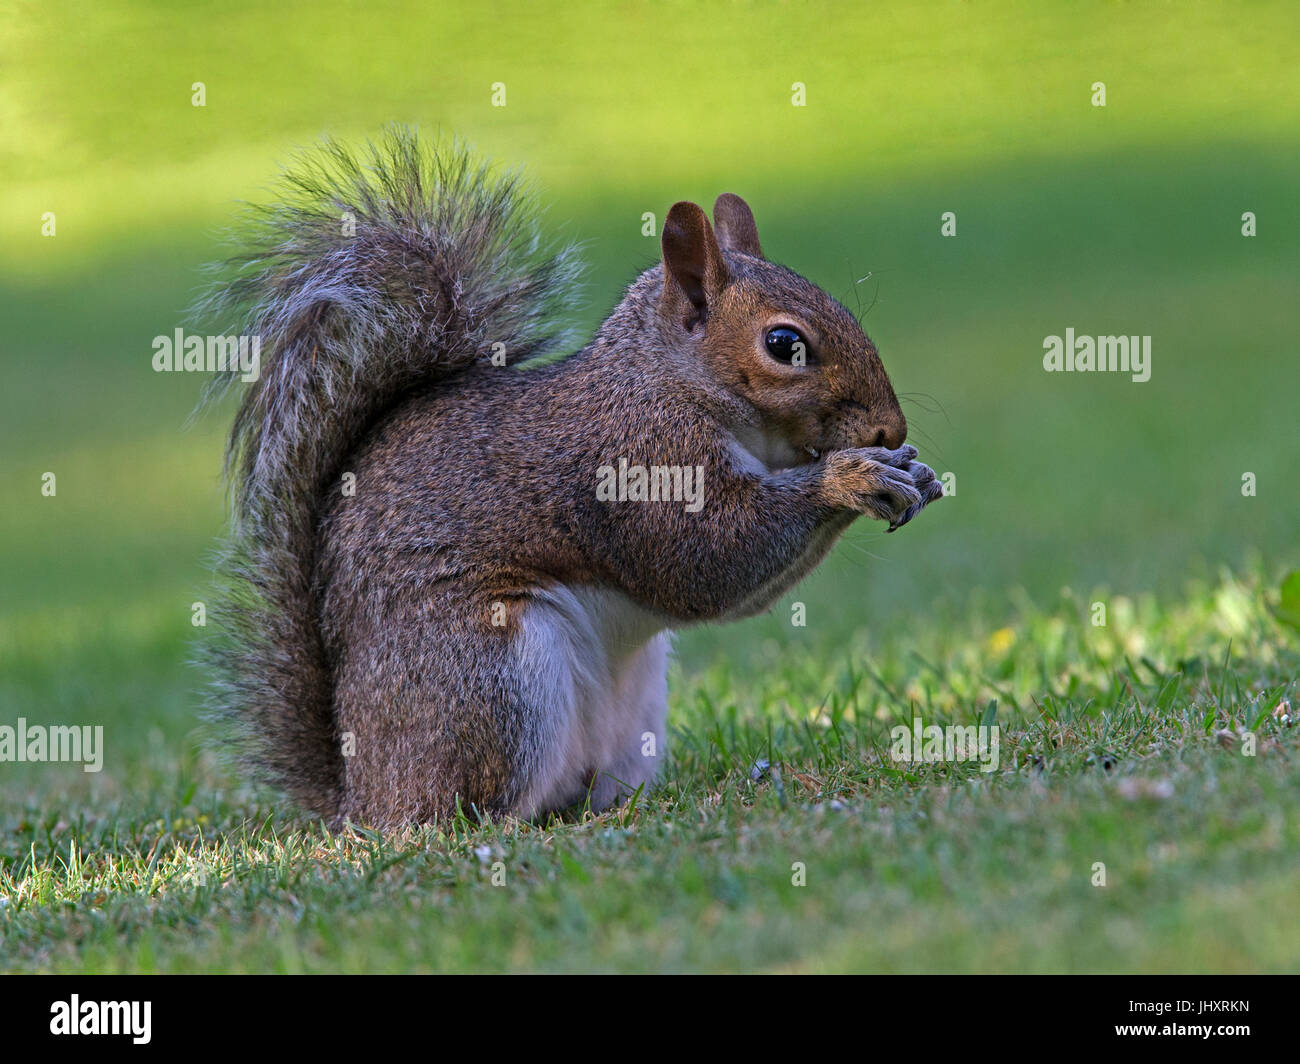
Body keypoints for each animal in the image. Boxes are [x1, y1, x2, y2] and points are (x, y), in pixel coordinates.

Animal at [202, 127, 943, 829]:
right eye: (785, 345)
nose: (890, 430)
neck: (669, 379)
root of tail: (361, 794)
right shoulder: (639, 458)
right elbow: (708, 559)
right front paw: (851, 478)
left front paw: (912, 470)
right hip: (488, 675)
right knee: (465, 809)